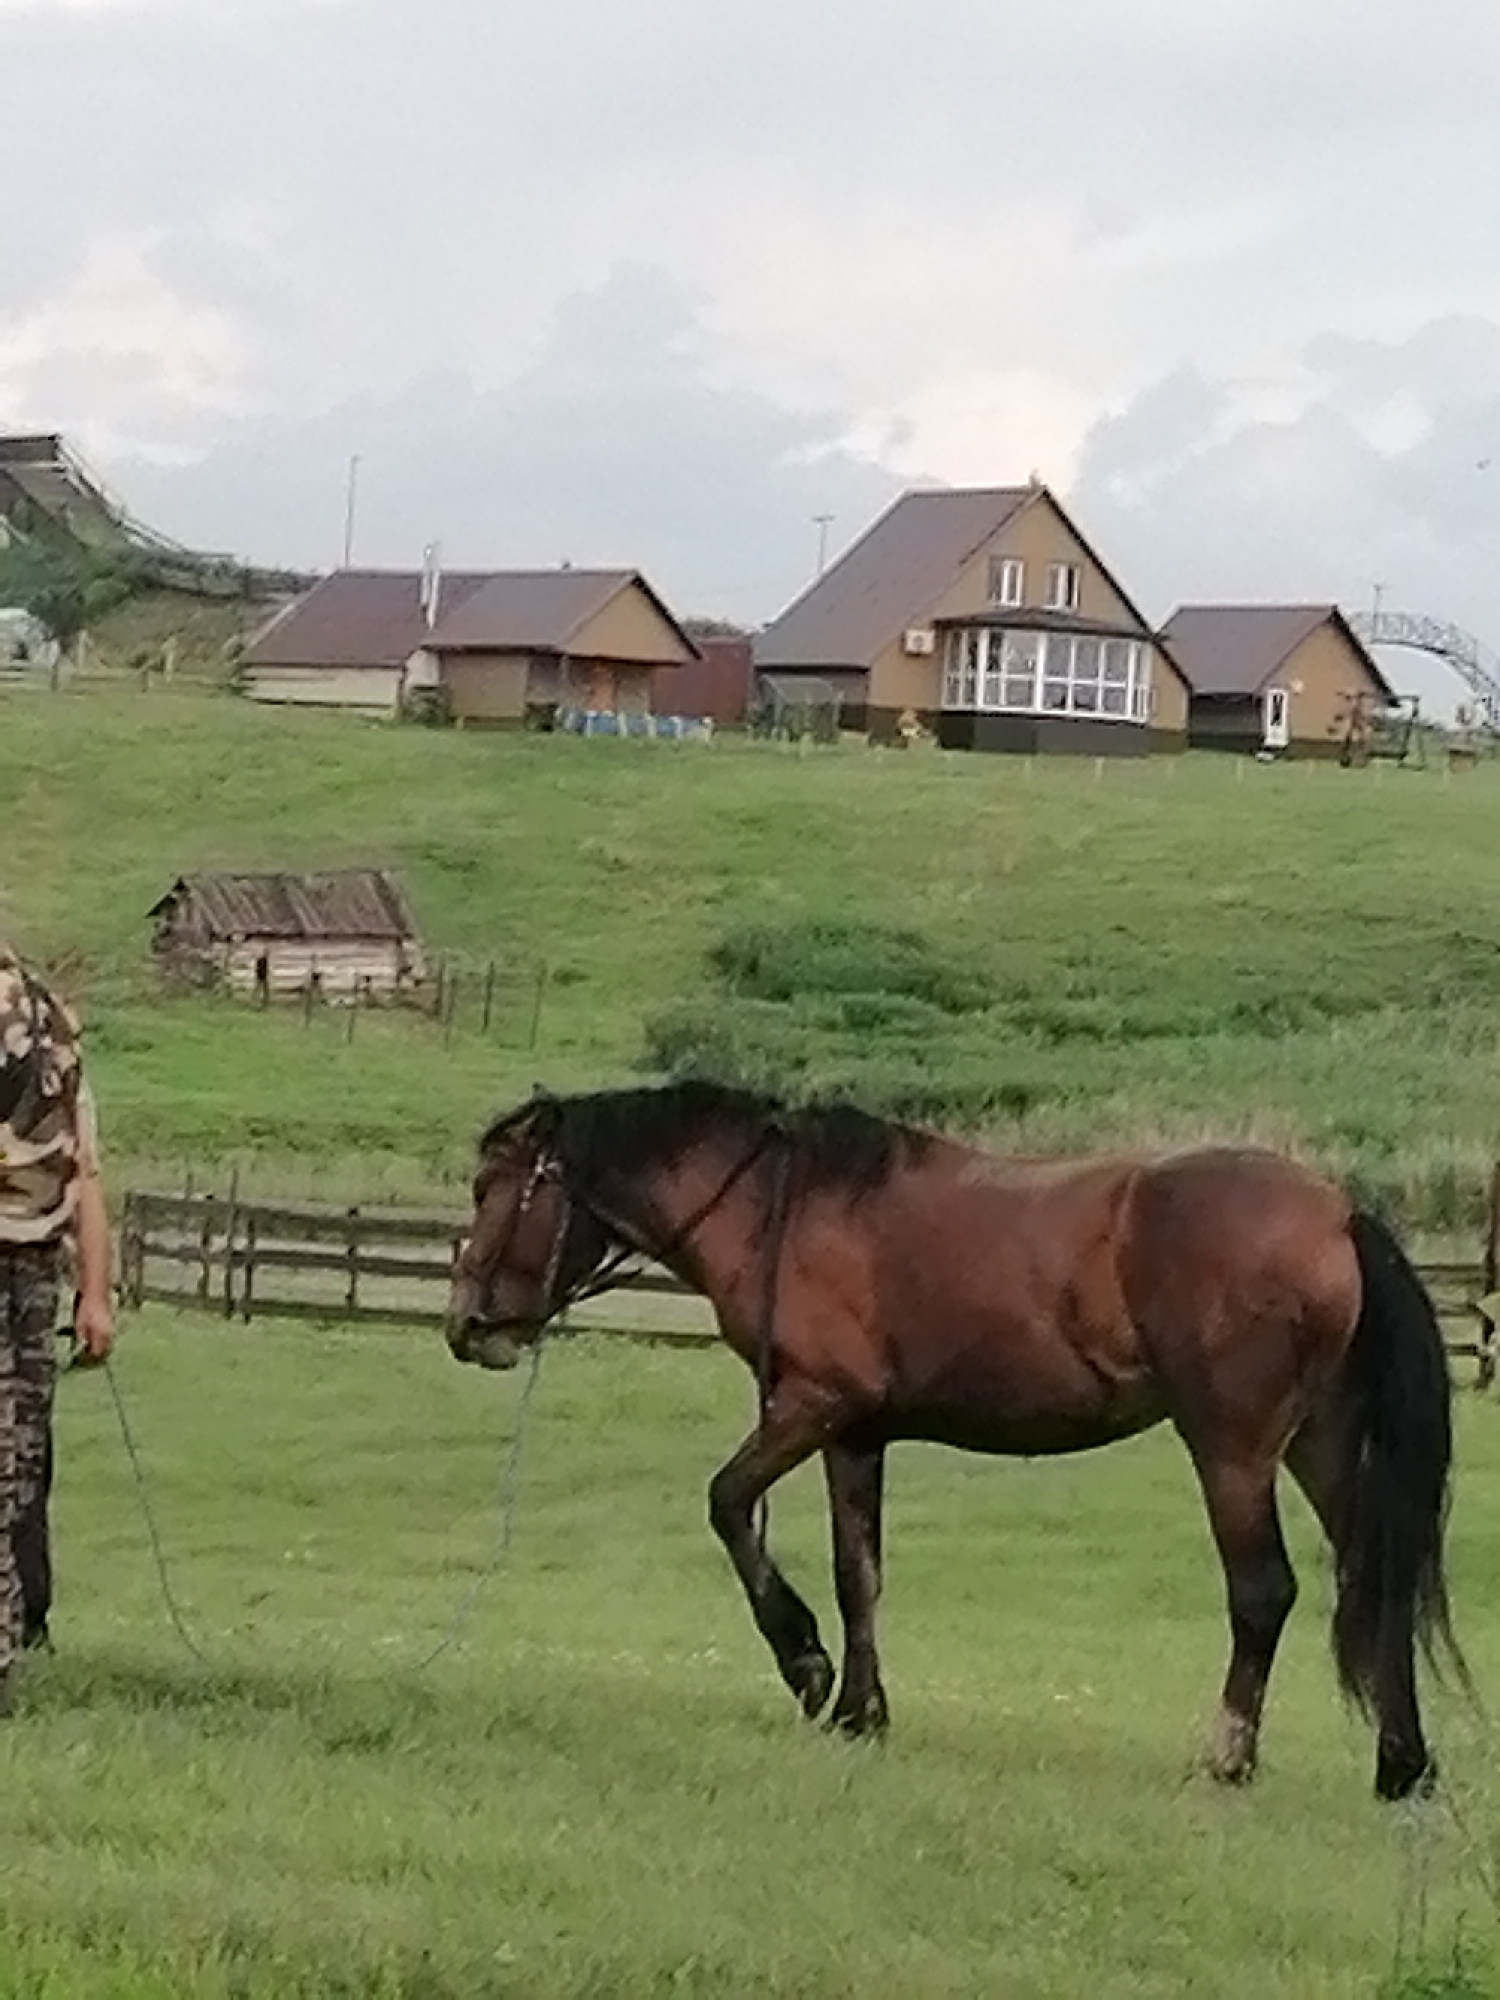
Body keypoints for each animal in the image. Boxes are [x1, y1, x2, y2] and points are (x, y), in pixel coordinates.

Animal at [446, 1079, 1469, 1800]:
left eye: (494, 1188)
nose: (467, 1325)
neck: (785, 1208)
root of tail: (1337, 1211)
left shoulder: (810, 1405)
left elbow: (729, 1503)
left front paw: (805, 1664)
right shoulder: (856, 1434)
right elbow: (859, 1573)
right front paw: (861, 1710)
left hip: (1232, 1448)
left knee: (1263, 1592)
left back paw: (1228, 1757)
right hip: (1320, 1443)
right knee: (1374, 1579)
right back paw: (1403, 1765)